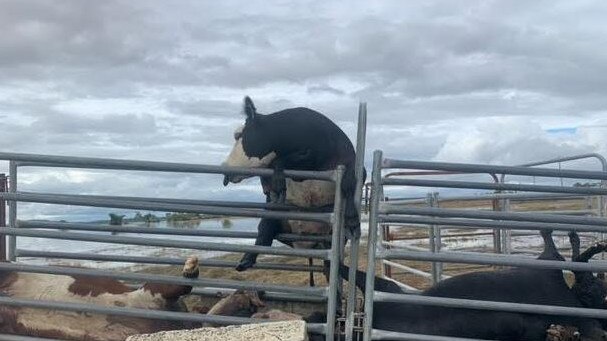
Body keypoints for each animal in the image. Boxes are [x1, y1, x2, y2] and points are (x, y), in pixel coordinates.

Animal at [223, 96, 366, 270]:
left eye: (238, 135)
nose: (224, 170)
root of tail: (306, 245)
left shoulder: (353, 163)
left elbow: (348, 183)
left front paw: (352, 222)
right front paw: (278, 184)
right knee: (265, 229)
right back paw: (245, 260)